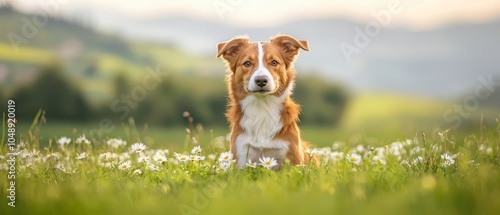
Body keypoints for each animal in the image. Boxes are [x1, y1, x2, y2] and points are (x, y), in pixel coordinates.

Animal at [216, 34, 316, 170]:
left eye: (274, 62)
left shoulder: (291, 156)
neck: (262, 108)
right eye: (247, 63)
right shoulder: (242, 153)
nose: (261, 80)